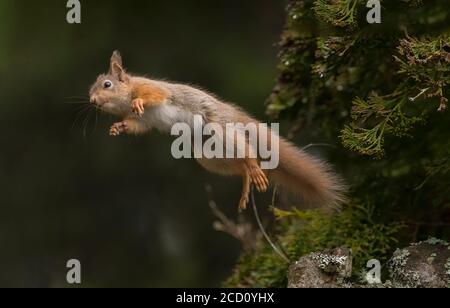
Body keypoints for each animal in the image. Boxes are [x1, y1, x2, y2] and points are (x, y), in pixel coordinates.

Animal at [89, 51, 346, 209]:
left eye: (107, 85)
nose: (92, 100)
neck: (127, 95)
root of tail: (234, 114)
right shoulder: (142, 121)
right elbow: (137, 125)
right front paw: (118, 127)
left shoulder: (153, 88)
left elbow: (155, 95)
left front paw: (138, 102)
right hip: (208, 156)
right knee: (238, 166)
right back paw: (246, 182)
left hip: (221, 130)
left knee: (247, 152)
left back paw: (253, 167)